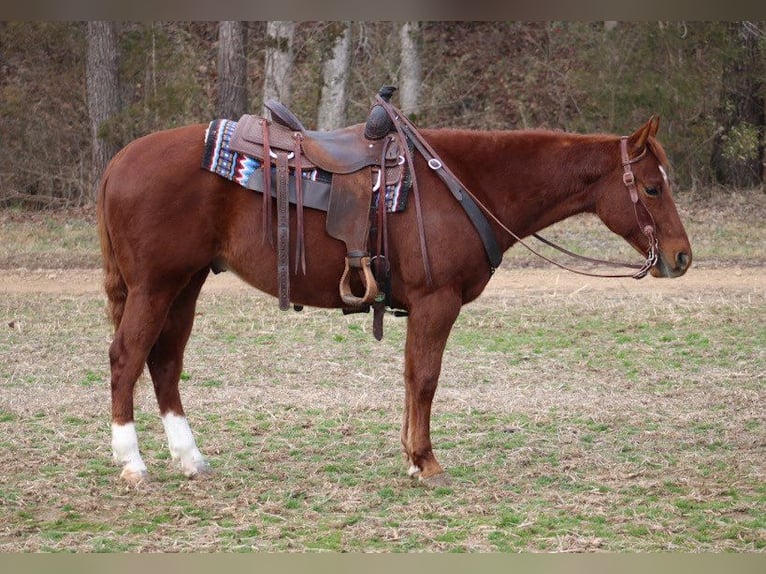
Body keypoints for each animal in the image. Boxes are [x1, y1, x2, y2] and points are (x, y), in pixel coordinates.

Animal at [97, 113, 696, 490]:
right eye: (652, 187)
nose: (682, 256)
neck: (462, 183)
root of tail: (119, 160)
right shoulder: (437, 302)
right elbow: (426, 377)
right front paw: (426, 462)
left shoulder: (421, 308)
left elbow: (411, 376)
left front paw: (410, 456)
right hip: (155, 286)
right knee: (127, 359)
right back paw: (133, 465)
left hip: (186, 284)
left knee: (164, 363)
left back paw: (189, 459)